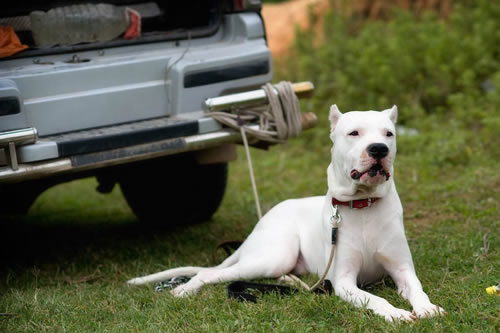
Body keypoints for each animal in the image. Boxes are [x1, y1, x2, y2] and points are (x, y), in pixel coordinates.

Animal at [129, 105, 446, 320]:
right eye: (354, 133)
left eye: (389, 134)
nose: (379, 149)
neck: (363, 203)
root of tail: (265, 218)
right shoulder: (344, 282)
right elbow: (374, 299)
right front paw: (396, 313)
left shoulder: (402, 270)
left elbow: (417, 289)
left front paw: (427, 307)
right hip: (272, 256)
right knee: (211, 273)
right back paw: (186, 289)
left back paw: (292, 281)